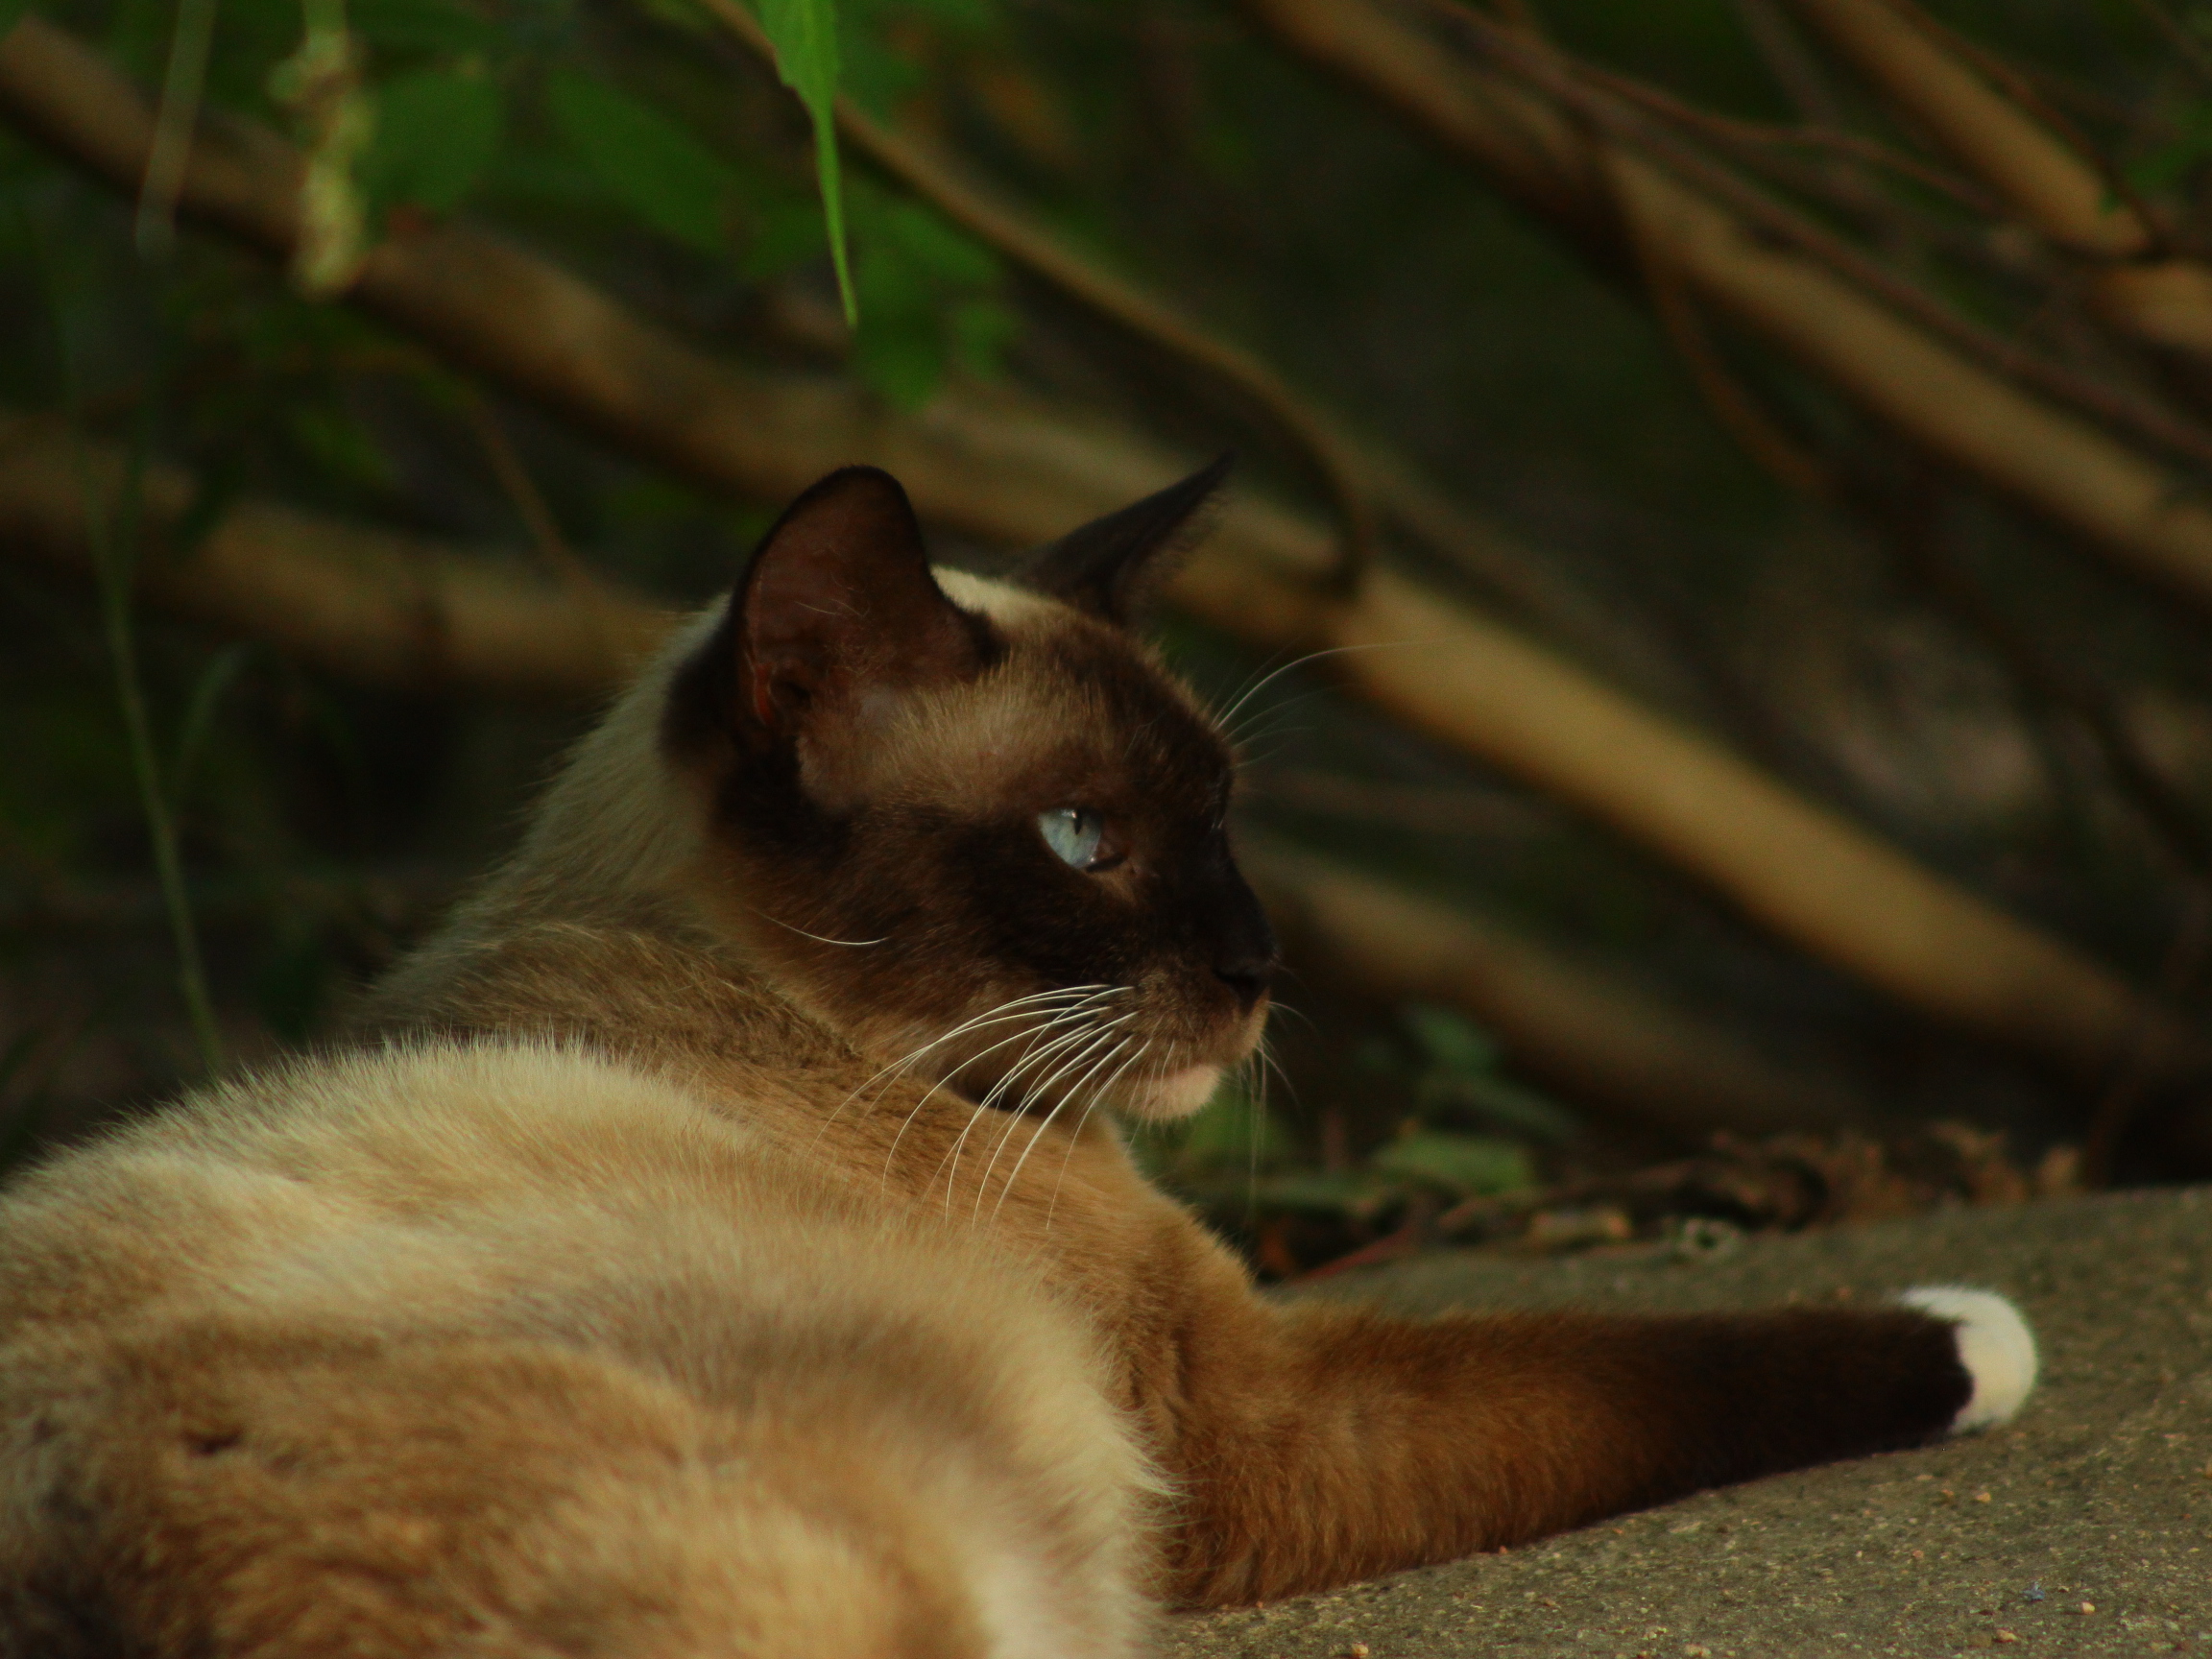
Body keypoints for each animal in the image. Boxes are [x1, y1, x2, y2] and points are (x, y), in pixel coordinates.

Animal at [0, 462, 2034, 1654]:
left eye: (1223, 822)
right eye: (1080, 838)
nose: (1259, 969)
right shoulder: (1250, 1419)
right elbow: (1662, 1356)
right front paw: (1973, 1329)